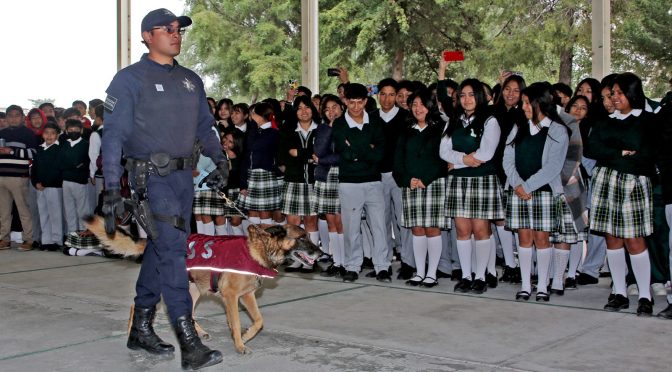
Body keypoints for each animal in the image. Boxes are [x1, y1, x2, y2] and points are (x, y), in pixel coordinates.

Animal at [85, 217, 322, 354]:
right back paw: (132, 332)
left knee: (186, 312)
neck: (258, 248)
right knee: (138, 303)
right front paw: (239, 344)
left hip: (193, 289)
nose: (321, 254)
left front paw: (245, 336)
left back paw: (199, 333)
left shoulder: (246, 296)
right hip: (169, 287)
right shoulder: (231, 296)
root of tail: (154, 243)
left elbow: (258, 321)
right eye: (302, 238)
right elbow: (237, 321)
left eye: (309, 236)